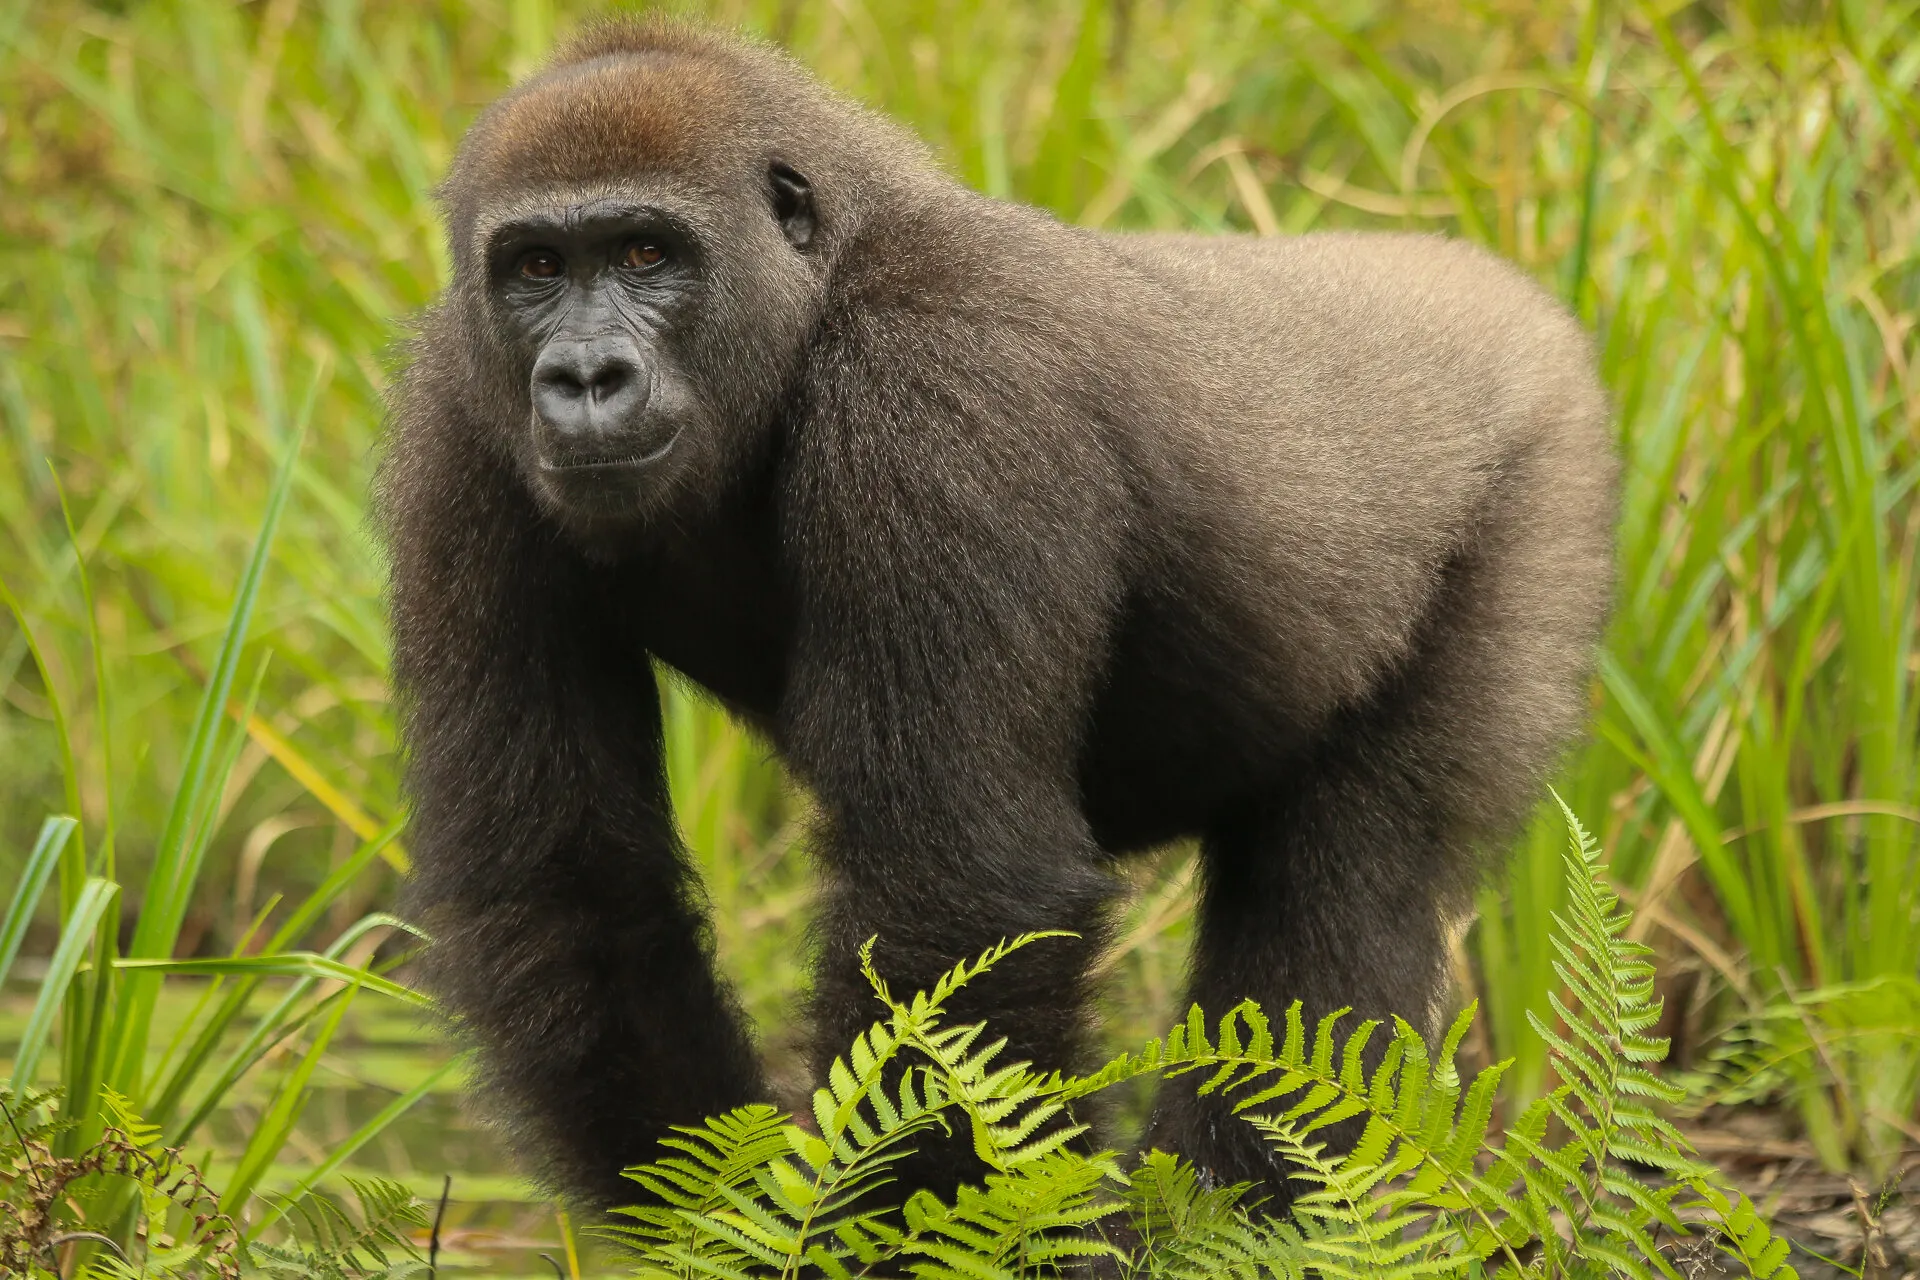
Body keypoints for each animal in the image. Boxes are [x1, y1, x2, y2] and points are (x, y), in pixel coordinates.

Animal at [378, 18, 1616, 1216]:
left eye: (646, 251)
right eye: (537, 266)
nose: (584, 376)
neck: (824, 285)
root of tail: (1487, 286)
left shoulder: (939, 375)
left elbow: (954, 898)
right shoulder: (458, 417)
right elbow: (570, 891)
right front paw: (715, 1219)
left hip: (1541, 473)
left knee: (1345, 907)